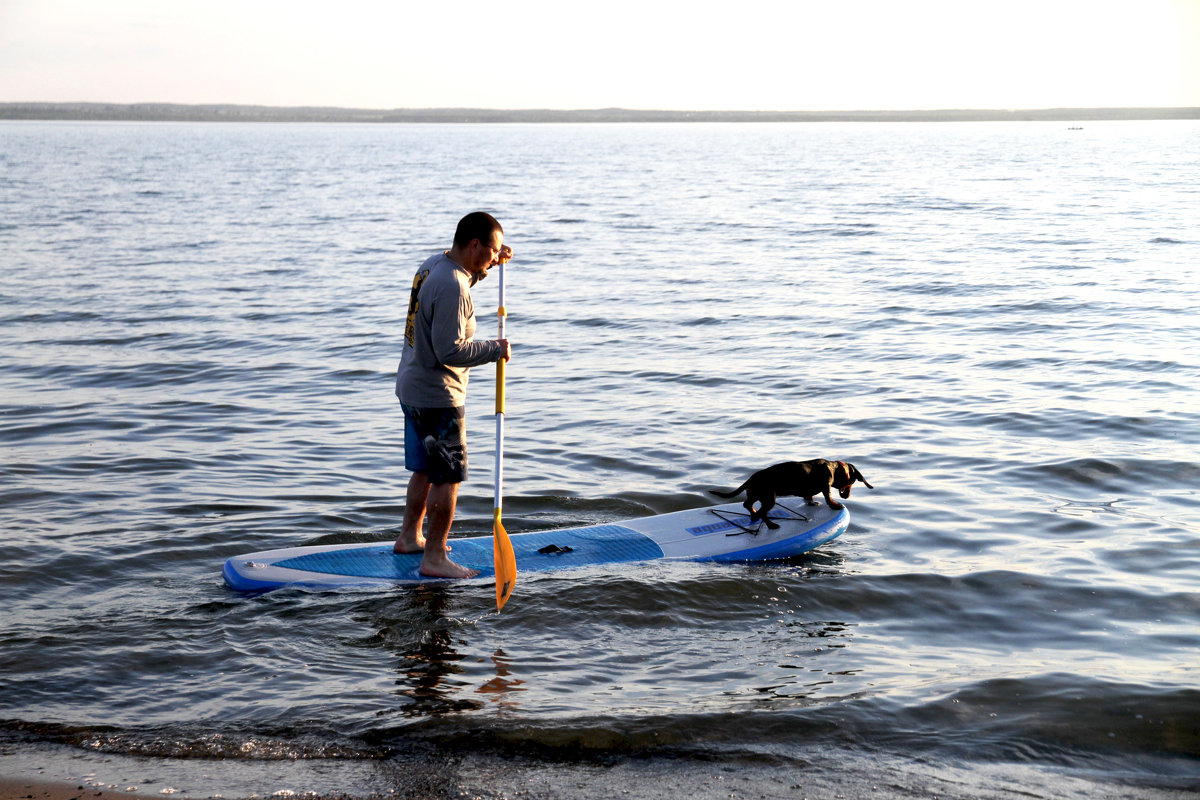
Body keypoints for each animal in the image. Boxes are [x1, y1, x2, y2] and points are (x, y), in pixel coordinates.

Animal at [710, 460, 873, 527]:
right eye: (852, 482)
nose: (847, 496)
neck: (833, 467)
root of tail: (750, 479)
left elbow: (810, 496)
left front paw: (812, 502)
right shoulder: (825, 486)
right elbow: (828, 497)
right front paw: (835, 505)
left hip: (757, 495)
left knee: (748, 505)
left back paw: (754, 514)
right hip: (769, 497)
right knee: (762, 512)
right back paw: (771, 525)